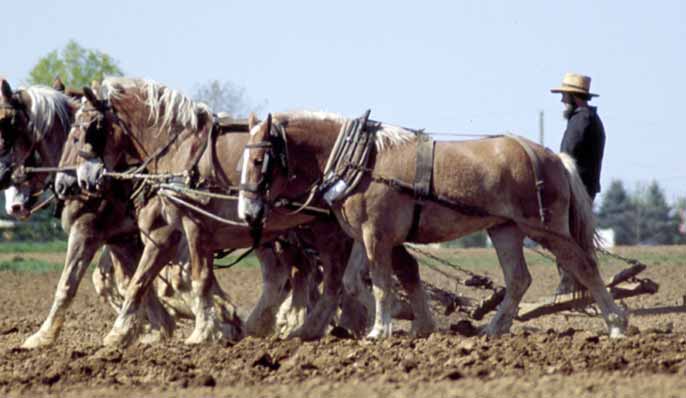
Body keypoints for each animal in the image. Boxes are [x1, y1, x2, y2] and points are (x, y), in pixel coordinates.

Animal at [239, 111, 632, 338]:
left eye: (259, 160)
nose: (246, 212)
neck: (362, 160)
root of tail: (552, 156)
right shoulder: (362, 237)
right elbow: (354, 281)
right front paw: (385, 321)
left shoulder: (376, 235)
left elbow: (381, 281)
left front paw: (380, 328)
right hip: (505, 229)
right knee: (519, 279)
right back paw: (493, 329)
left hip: (546, 229)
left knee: (584, 265)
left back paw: (616, 324)